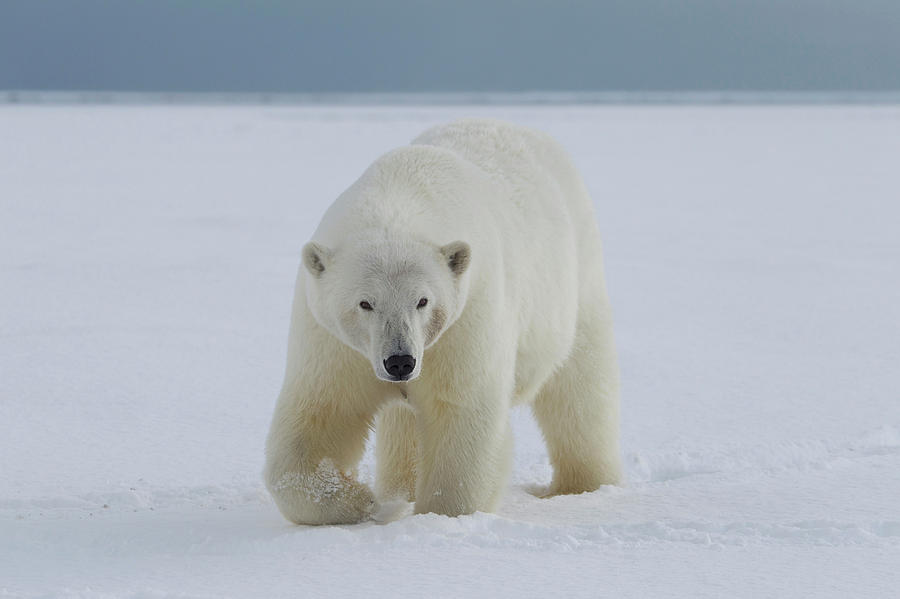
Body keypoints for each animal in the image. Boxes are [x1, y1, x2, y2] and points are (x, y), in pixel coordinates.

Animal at [264, 118, 624, 524]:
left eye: (423, 301)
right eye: (365, 303)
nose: (400, 362)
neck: (399, 193)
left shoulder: (466, 318)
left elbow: (463, 412)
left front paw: (438, 516)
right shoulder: (334, 341)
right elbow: (322, 412)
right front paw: (359, 501)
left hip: (575, 276)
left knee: (580, 388)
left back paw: (583, 485)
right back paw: (398, 490)